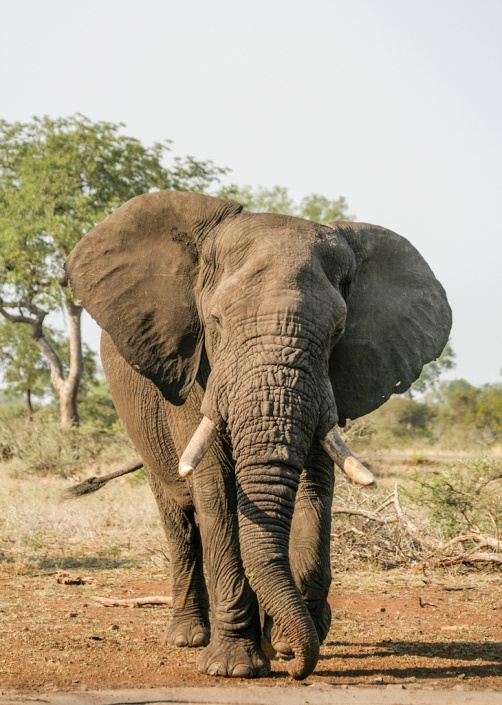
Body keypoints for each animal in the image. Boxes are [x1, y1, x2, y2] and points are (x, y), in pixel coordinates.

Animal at [65, 191, 451, 680]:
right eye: (215, 322)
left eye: (338, 332)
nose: (298, 668)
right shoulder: (198, 373)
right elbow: (216, 489)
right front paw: (233, 667)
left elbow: (315, 486)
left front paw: (288, 643)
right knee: (180, 520)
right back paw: (189, 638)